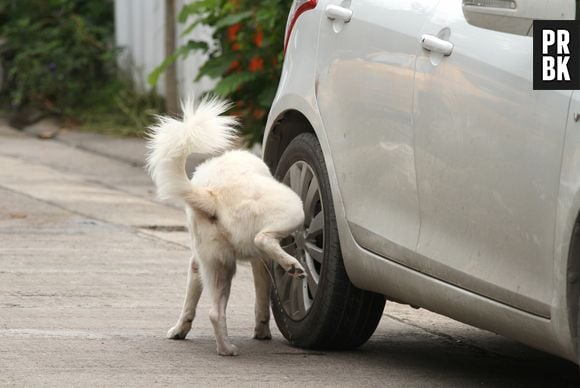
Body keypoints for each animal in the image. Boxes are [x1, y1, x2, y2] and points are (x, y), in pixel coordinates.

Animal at [145, 96, 306, 354]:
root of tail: (211, 194)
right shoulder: (261, 264)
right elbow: (262, 301)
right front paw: (262, 331)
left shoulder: (198, 265)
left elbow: (190, 302)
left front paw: (179, 330)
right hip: (293, 209)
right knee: (264, 239)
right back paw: (292, 265)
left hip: (218, 265)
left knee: (214, 312)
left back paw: (225, 349)